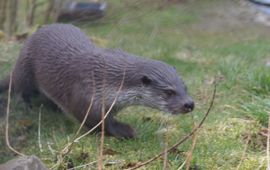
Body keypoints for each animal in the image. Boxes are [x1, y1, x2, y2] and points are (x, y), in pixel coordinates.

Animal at [0, 23, 194, 138]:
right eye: (169, 92)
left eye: (185, 87)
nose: (189, 104)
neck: (107, 81)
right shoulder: (85, 96)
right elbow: (96, 122)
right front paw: (124, 130)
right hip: (25, 70)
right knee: (19, 89)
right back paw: (26, 105)